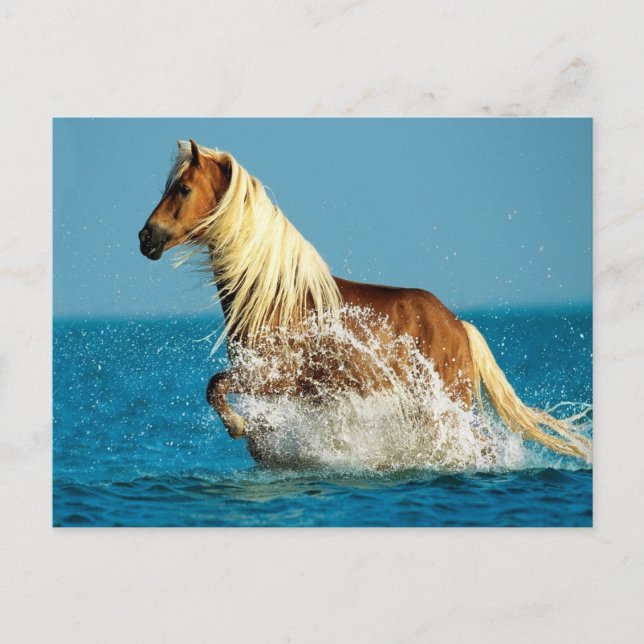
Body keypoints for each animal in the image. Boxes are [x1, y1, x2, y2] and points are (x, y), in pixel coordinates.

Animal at [138, 139, 591, 463]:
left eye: (183, 188)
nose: (146, 238)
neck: (275, 298)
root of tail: (458, 325)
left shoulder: (273, 377)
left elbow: (215, 386)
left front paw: (238, 426)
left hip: (451, 402)